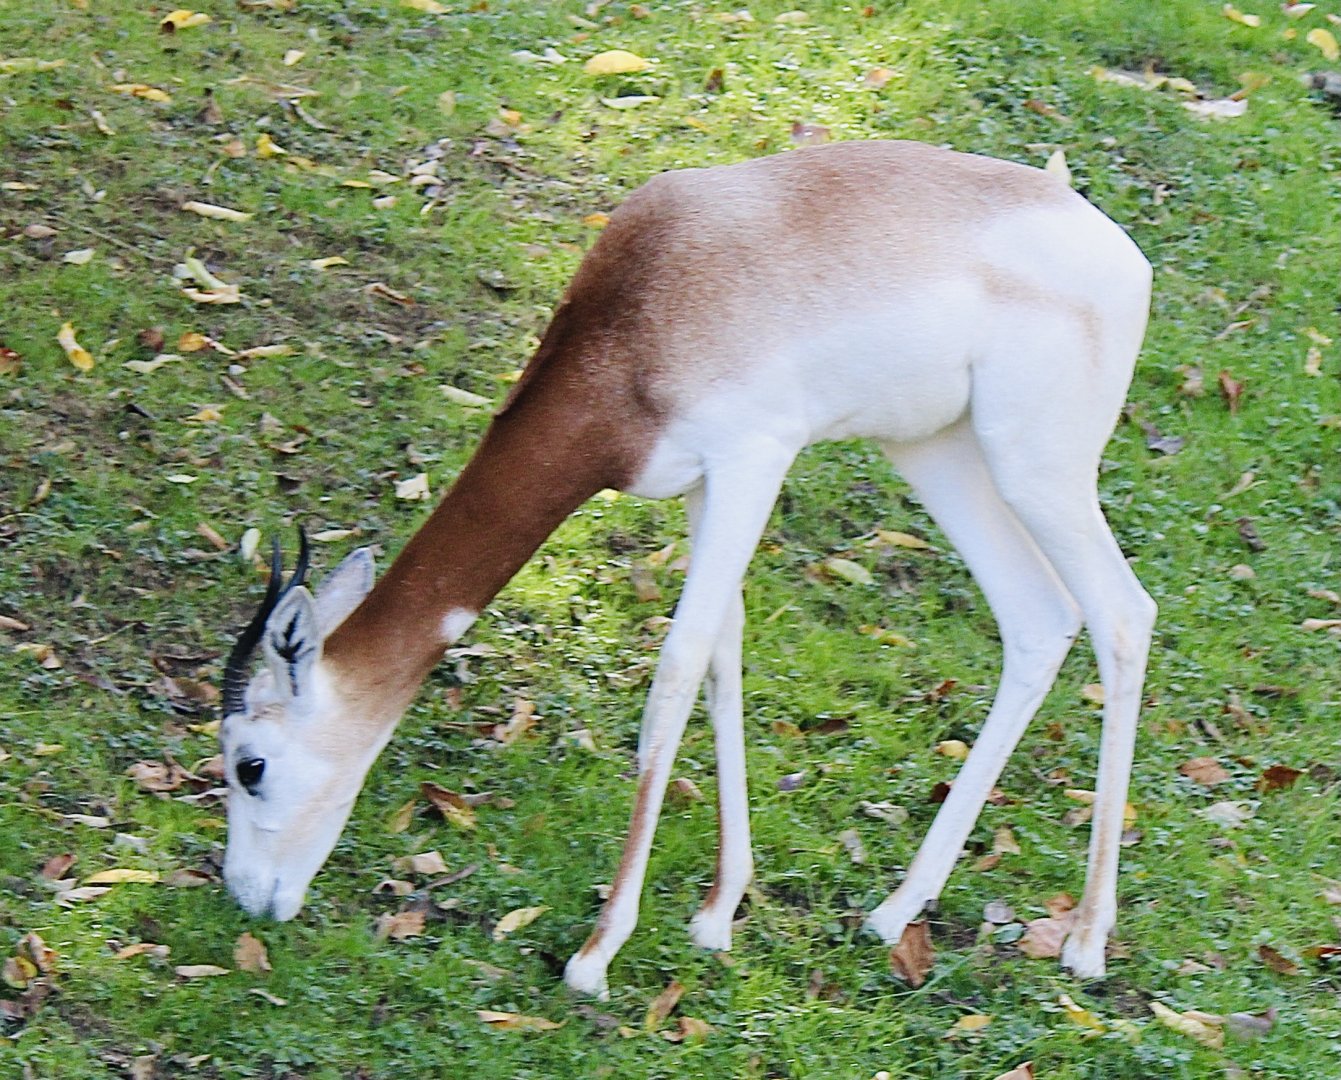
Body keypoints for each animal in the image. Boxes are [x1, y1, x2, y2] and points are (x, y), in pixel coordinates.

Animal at [219, 140, 1155, 999]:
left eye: (248, 765)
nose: (244, 896)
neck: (640, 323)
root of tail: (1105, 236)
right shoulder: (706, 485)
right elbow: (720, 655)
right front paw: (716, 913)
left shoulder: (752, 459)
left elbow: (673, 672)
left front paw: (596, 954)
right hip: (935, 450)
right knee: (1037, 618)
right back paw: (895, 912)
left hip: (1036, 466)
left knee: (1121, 613)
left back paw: (1084, 943)